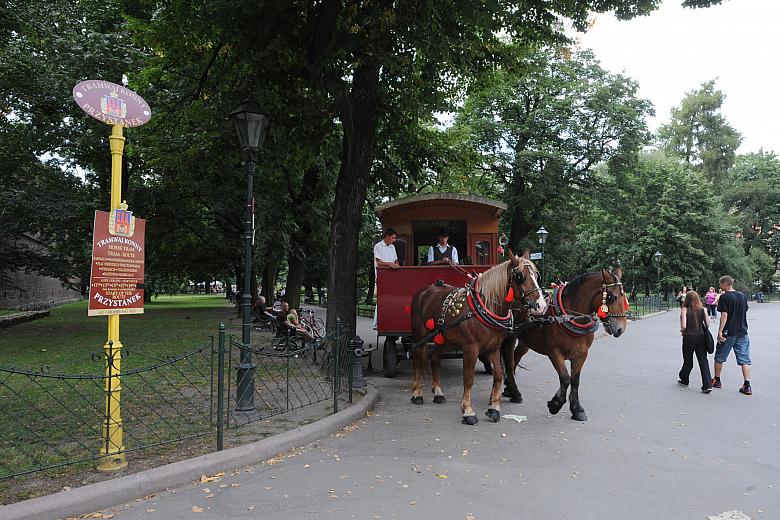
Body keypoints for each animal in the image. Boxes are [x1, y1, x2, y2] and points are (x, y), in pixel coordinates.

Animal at [408, 253, 548, 426]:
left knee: (435, 360)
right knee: (417, 361)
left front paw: (494, 408)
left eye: (537, 275)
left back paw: (438, 393)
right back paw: (417, 394)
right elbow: (468, 378)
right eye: (520, 276)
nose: (541, 306)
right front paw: (468, 411)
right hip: (419, 335)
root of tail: (423, 291)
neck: (484, 307)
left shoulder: (494, 347)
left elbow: (499, 374)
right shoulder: (471, 348)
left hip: (443, 338)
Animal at [502, 268, 632, 422]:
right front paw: (555, 404)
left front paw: (576, 408)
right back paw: (513, 391)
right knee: (509, 362)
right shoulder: (554, 353)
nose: (621, 329)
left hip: (525, 342)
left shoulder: (581, 354)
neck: (569, 316)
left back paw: (509, 389)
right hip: (510, 337)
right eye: (612, 297)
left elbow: (575, 380)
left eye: (624, 297)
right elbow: (565, 378)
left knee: (516, 359)